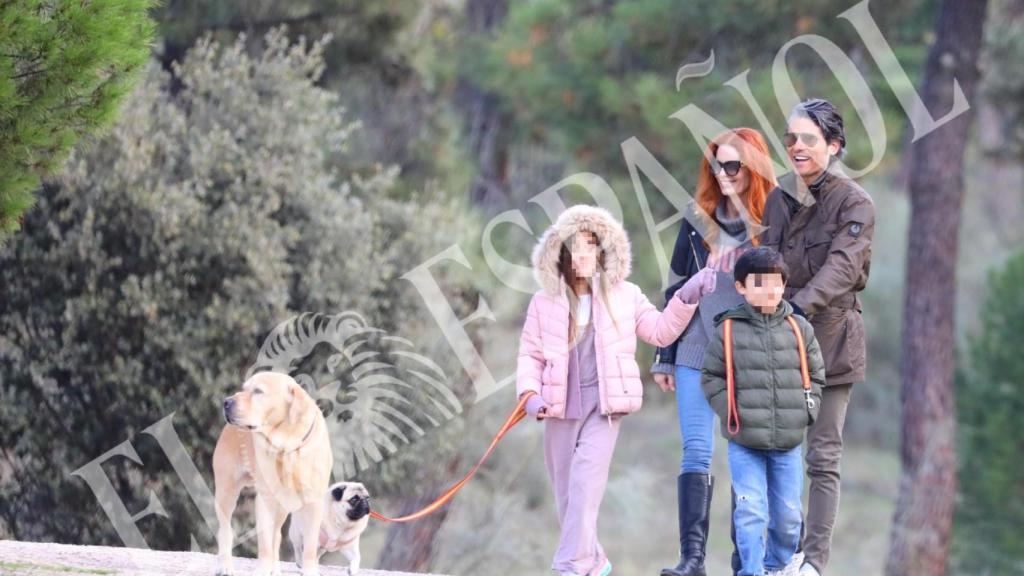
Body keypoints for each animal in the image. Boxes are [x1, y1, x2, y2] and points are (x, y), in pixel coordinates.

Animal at [212, 368, 331, 569]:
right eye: (244, 388)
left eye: (258, 391)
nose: (226, 402)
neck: (287, 447)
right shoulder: (265, 500)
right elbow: (265, 544)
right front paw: (263, 568)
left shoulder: (314, 502)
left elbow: (309, 547)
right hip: (226, 491)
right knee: (225, 530)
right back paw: (225, 566)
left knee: (277, 535)